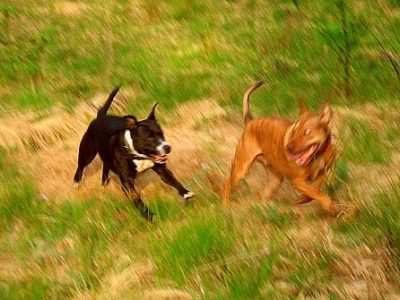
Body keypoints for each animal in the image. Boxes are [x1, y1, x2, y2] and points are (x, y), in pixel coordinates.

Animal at [75, 86, 195, 220]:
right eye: (149, 138)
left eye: (162, 134)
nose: (167, 147)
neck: (138, 155)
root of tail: (101, 116)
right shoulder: (127, 183)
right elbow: (137, 200)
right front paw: (149, 216)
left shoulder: (162, 170)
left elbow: (173, 180)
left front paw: (185, 193)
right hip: (88, 152)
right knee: (81, 165)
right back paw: (77, 182)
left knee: (105, 164)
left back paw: (104, 182)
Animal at [223, 81, 340, 214]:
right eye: (294, 130)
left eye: (306, 131)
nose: (287, 147)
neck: (318, 156)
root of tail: (250, 122)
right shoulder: (297, 181)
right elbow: (317, 193)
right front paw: (329, 205)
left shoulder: (323, 172)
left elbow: (316, 189)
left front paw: (305, 198)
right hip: (241, 168)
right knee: (227, 185)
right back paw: (225, 207)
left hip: (274, 181)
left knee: (260, 195)